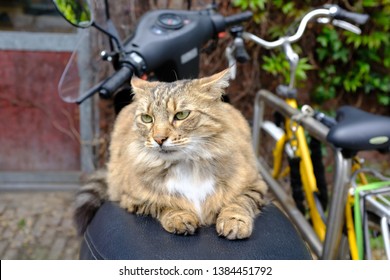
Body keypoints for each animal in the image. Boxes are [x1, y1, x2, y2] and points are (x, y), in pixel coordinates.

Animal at [74, 69, 268, 240]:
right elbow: (162, 204)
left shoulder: (255, 184)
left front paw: (234, 222)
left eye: (181, 115)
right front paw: (180, 217)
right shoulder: (131, 198)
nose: (159, 139)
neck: (188, 165)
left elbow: (239, 203)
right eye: (147, 118)